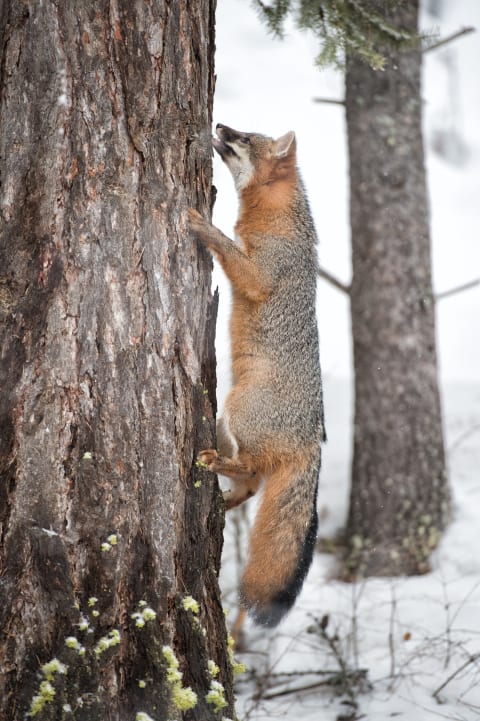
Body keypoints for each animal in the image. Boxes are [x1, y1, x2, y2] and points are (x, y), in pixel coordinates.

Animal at [189, 122, 324, 624]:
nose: (220, 125)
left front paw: (203, 226)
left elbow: (228, 249)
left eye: (245, 138)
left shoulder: (257, 273)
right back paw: (222, 503)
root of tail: (313, 437)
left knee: (249, 469)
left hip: (236, 411)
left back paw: (214, 468)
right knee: (250, 487)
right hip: (225, 422)